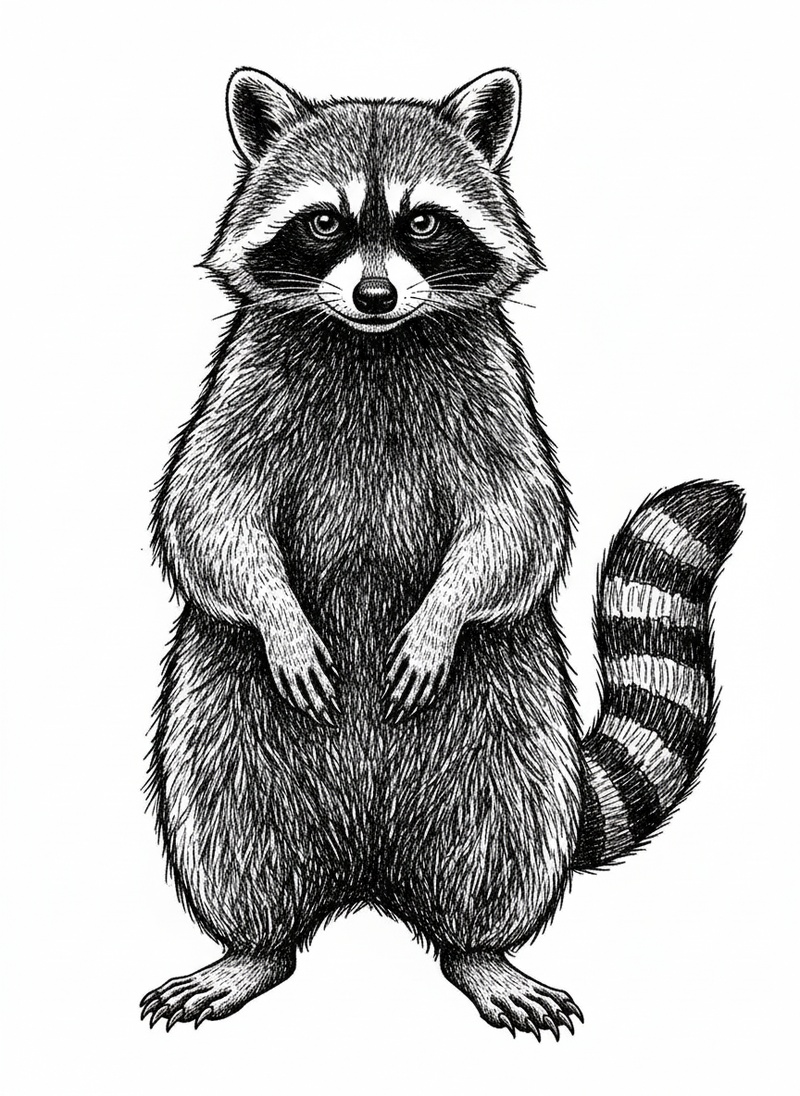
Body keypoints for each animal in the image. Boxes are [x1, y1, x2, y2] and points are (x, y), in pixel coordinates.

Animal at [141, 68, 744, 1038]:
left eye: (422, 221)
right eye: (325, 222)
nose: (376, 297)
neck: (373, 345)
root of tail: (368, 878)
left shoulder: (498, 387)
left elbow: (521, 517)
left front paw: (438, 617)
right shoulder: (238, 383)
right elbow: (204, 510)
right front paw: (280, 617)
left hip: (510, 729)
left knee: (501, 839)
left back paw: (482, 952)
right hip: (221, 718)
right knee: (233, 832)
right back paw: (252, 946)